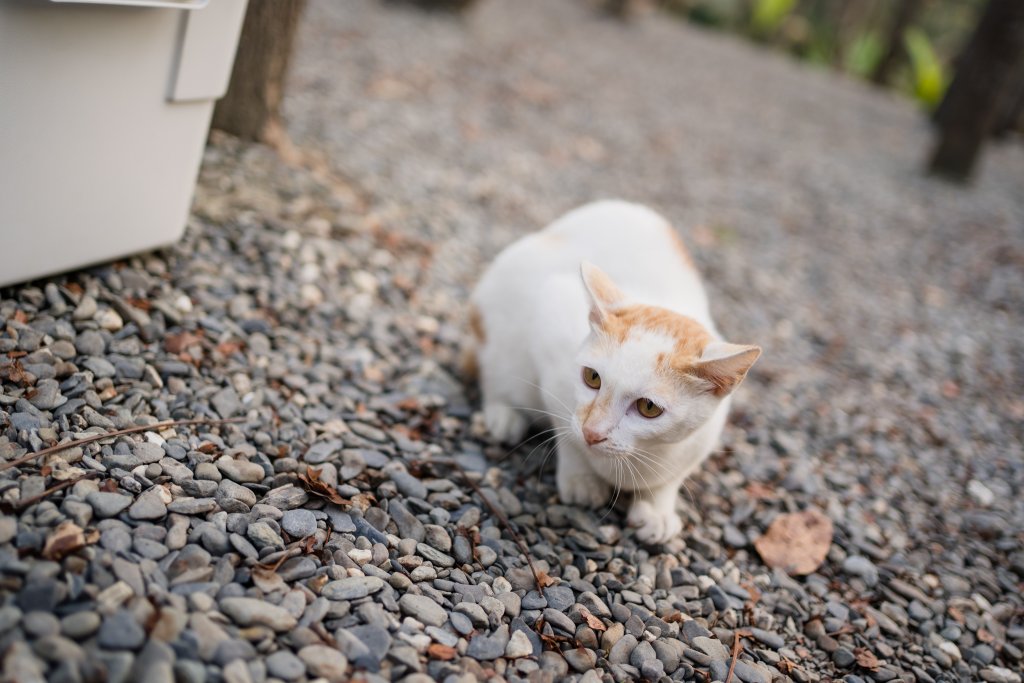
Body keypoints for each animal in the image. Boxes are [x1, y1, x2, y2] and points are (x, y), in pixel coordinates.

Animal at [471, 200, 761, 540]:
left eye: (649, 407)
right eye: (592, 378)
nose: (592, 433)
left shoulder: (703, 437)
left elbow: (673, 475)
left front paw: (657, 507)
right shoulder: (552, 318)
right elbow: (564, 428)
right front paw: (581, 477)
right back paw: (503, 413)